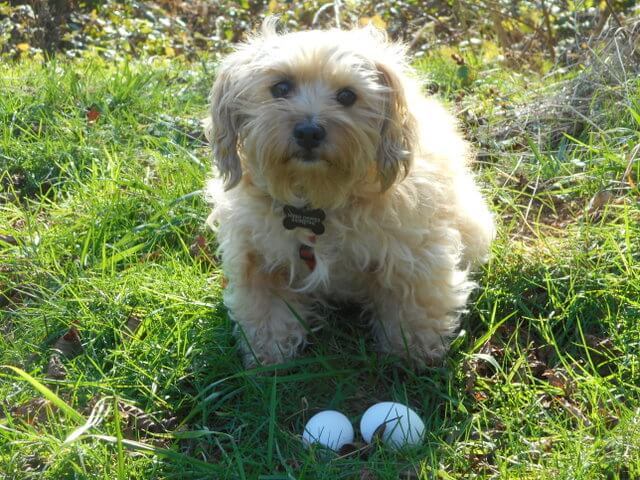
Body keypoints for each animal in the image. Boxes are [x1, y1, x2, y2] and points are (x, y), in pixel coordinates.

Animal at [205, 19, 496, 368]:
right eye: (281, 88)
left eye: (347, 95)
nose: (309, 132)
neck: (317, 201)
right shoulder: (258, 259)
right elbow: (267, 312)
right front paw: (268, 355)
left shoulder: (416, 256)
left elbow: (413, 307)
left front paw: (413, 354)